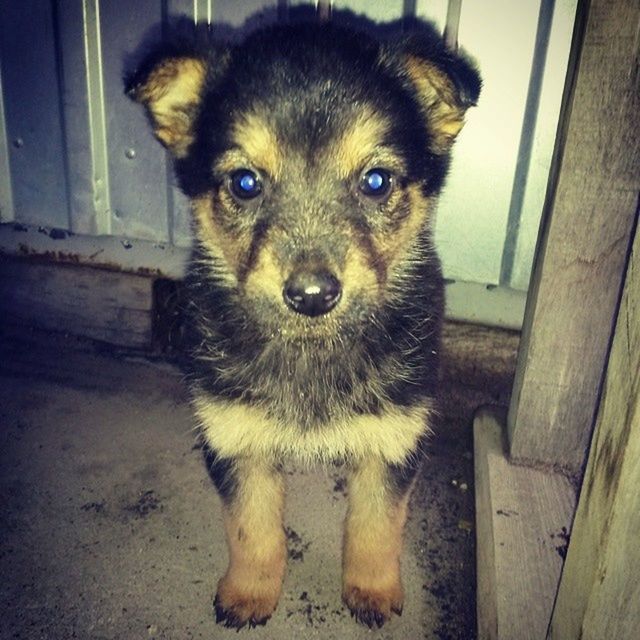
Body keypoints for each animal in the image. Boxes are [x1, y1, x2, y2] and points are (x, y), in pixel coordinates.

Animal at [127, 20, 478, 632]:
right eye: (245, 183)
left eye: (376, 181)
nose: (312, 297)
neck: (312, 350)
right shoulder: (234, 433)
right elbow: (252, 529)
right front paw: (249, 594)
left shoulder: (393, 437)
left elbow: (375, 526)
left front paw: (372, 591)